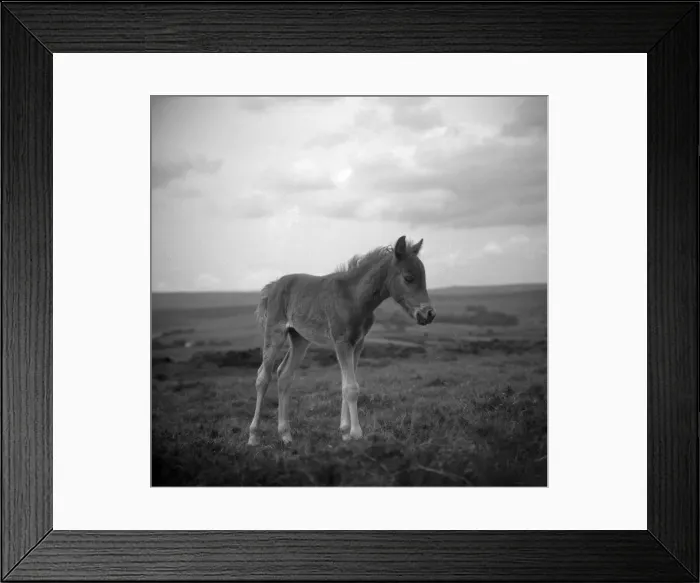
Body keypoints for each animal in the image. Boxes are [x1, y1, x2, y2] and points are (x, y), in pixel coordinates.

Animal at [247, 235, 436, 446]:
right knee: (263, 377)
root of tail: (273, 285)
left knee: (285, 375)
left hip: (300, 338)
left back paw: (286, 435)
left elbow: (347, 383)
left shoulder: (357, 343)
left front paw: (345, 432)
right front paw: (356, 433)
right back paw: (253, 436)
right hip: (275, 333)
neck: (354, 297)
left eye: (424, 278)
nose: (428, 314)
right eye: (408, 277)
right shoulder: (342, 342)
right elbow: (351, 388)